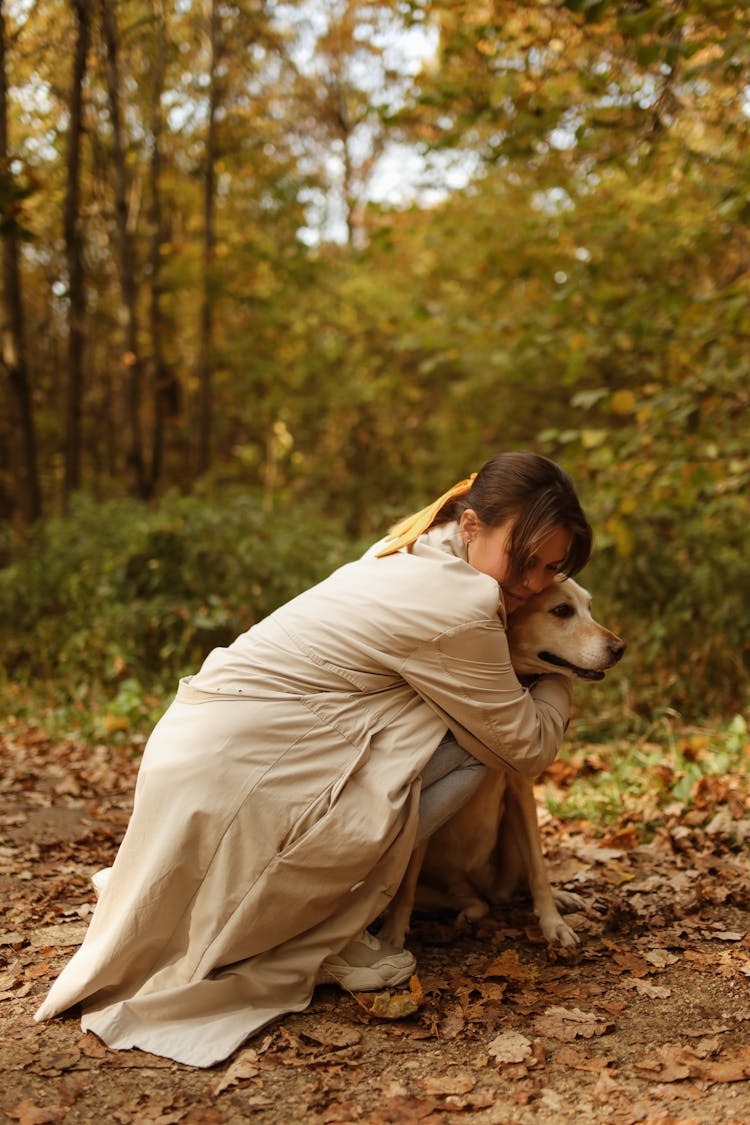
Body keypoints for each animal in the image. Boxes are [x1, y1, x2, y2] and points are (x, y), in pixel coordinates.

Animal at [382, 580, 629, 949]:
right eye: (562, 610)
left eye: (589, 607)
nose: (620, 648)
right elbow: (406, 885)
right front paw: (393, 935)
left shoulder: (521, 792)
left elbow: (539, 869)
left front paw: (553, 923)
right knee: (471, 900)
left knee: (511, 886)